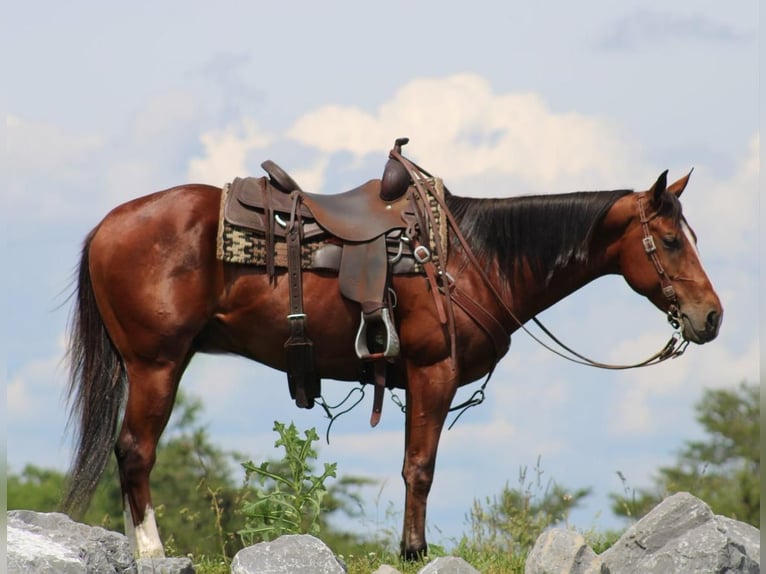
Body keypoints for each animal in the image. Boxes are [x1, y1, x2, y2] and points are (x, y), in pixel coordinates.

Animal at [61, 154, 728, 564]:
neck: (474, 256)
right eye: (671, 241)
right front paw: (413, 552)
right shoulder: (434, 373)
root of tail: (106, 226)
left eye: (693, 237)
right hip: (156, 365)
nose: (712, 317)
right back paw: (150, 551)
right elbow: (420, 468)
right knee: (135, 451)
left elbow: (414, 464)